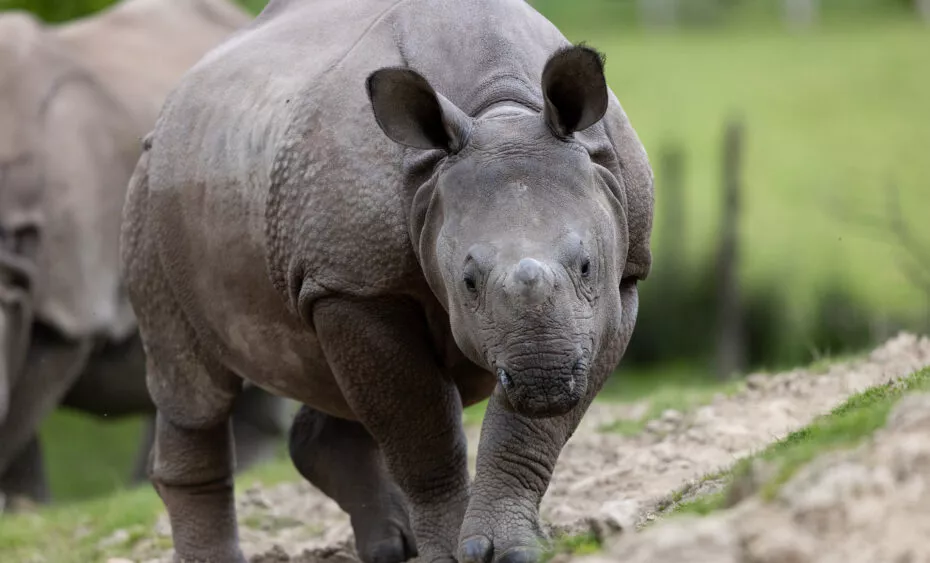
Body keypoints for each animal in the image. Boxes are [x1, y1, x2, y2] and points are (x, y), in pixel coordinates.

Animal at [121, 0, 654, 561]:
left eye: (587, 266)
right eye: (468, 280)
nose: (544, 378)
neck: (502, 111)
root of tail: (173, 104)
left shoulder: (621, 279)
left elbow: (529, 432)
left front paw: (511, 548)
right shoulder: (355, 282)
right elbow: (421, 429)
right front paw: (450, 553)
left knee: (329, 375)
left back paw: (391, 547)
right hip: (150, 197)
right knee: (193, 387)